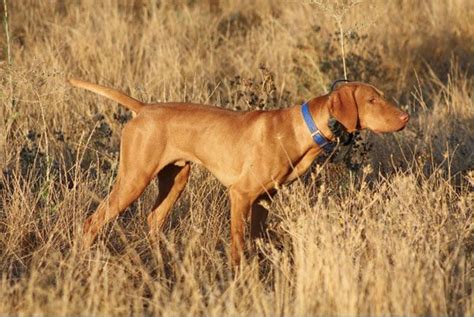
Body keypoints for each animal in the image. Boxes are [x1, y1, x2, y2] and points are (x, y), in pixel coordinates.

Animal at [68, 78, 410, 264]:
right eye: (371, 100)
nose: (405, 117)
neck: (302, 130)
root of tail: (143, 109)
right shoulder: (241, 194)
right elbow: (237, 245)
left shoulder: (264, 199)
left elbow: (257, 241)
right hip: (135, 178)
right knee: (92, 222)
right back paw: (83, 261)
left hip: (176, 179)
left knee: (153, 220)